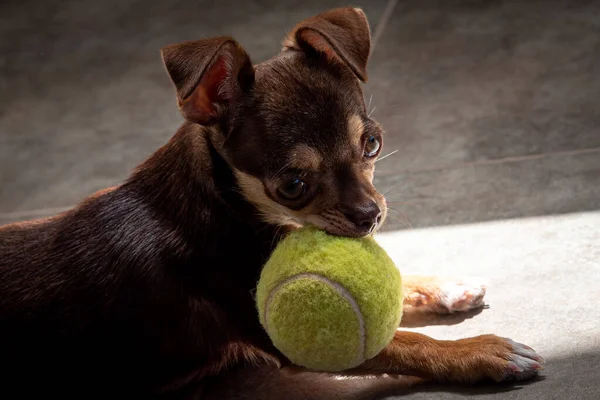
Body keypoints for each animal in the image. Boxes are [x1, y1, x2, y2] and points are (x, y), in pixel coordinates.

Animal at [1, 7, 544, 400]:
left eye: (372, 143)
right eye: (293, 184)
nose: (371, 216)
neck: (231, 207)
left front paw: (443, 285)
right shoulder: (283, 338)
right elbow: (406, 343)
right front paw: (481, 351)